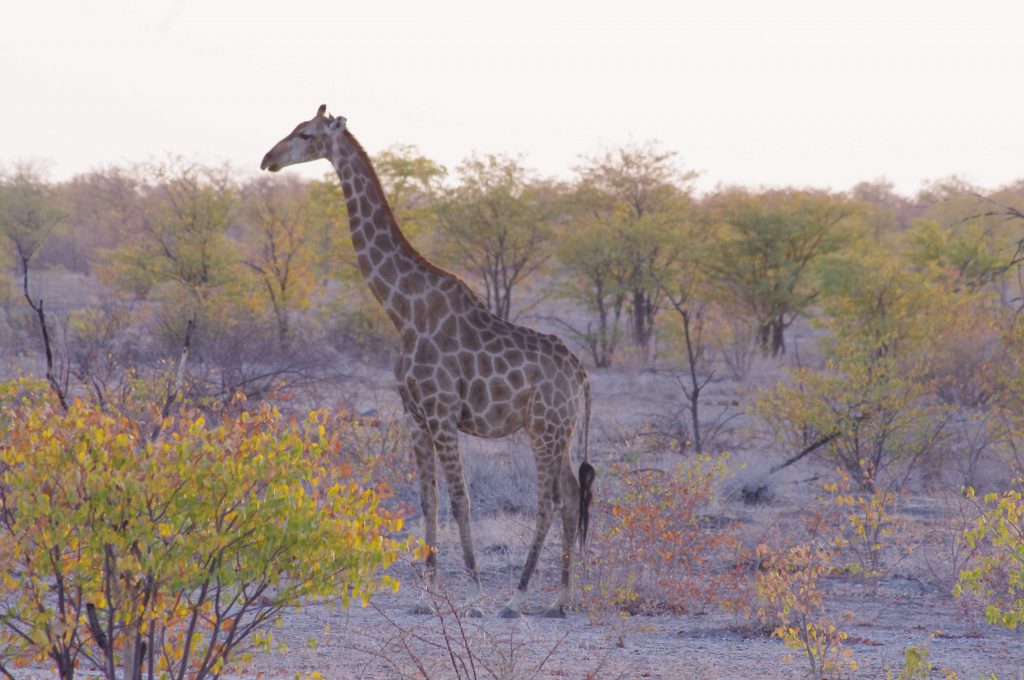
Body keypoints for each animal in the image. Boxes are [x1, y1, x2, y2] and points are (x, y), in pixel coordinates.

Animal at [264, 104, 598, 614]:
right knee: (571, 493)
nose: (268, 160)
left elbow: (460, 499)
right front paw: (427, 592)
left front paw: (474, 592)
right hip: (558, 429)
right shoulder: (414, 414)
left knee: (550, 500)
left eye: (305, 134)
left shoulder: (442, 411)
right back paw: (562, 598)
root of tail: (581, 375)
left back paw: (516, 597)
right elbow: (428, 500)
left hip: (545, 427)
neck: (401, 309)